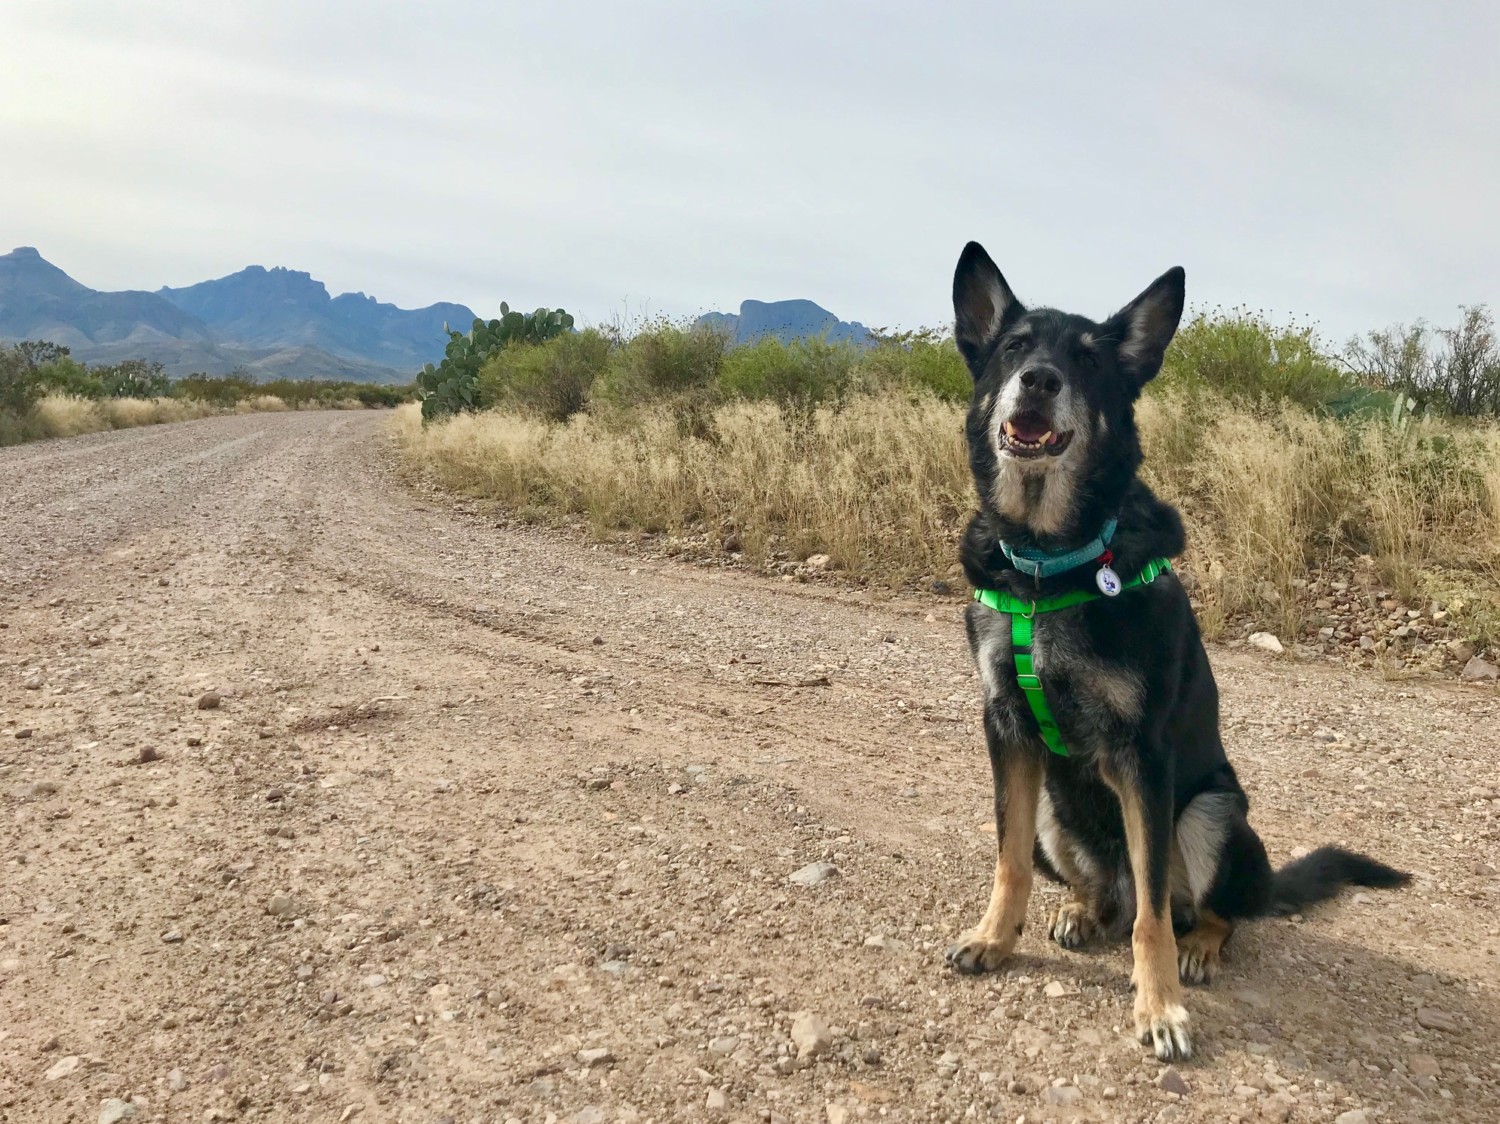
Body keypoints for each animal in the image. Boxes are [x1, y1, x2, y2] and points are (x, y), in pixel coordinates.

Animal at [948, 241, 1404, 1056]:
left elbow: (1154, 919)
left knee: (1201, 909)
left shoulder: (1144, 755)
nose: (1040, 381)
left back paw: (1199, 948)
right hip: (1055, 815)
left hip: (1214, 812)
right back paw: (1081, 910)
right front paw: (996, 938)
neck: (1048, 562)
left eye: (1089, 360)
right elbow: (1007, 862)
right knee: (1104, 894)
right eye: (1014, 348)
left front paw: (1158, 1008)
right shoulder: (1006, 730)